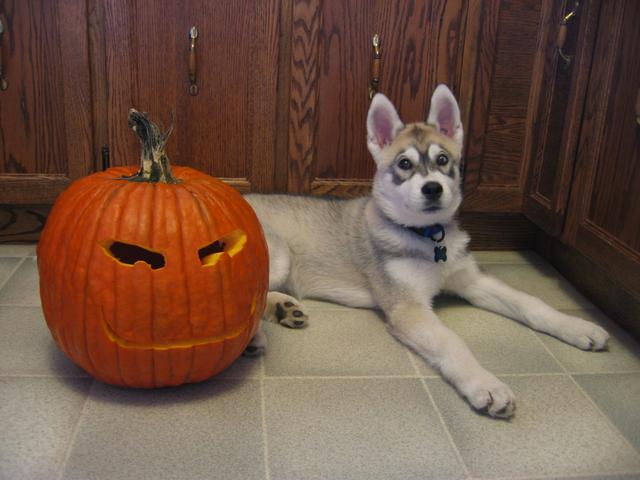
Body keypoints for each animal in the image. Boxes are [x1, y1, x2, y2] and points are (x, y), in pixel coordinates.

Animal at [244, 85, 609, 418]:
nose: (432, 188)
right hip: (279, 253)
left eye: (443, 160)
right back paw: (257, 334)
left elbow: (531, 303)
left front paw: (577, 327)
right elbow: (451, 342)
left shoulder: (472, 280)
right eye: (404, 163)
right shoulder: (408, 308)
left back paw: (285, 310)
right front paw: (486, 385)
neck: (429, 238)